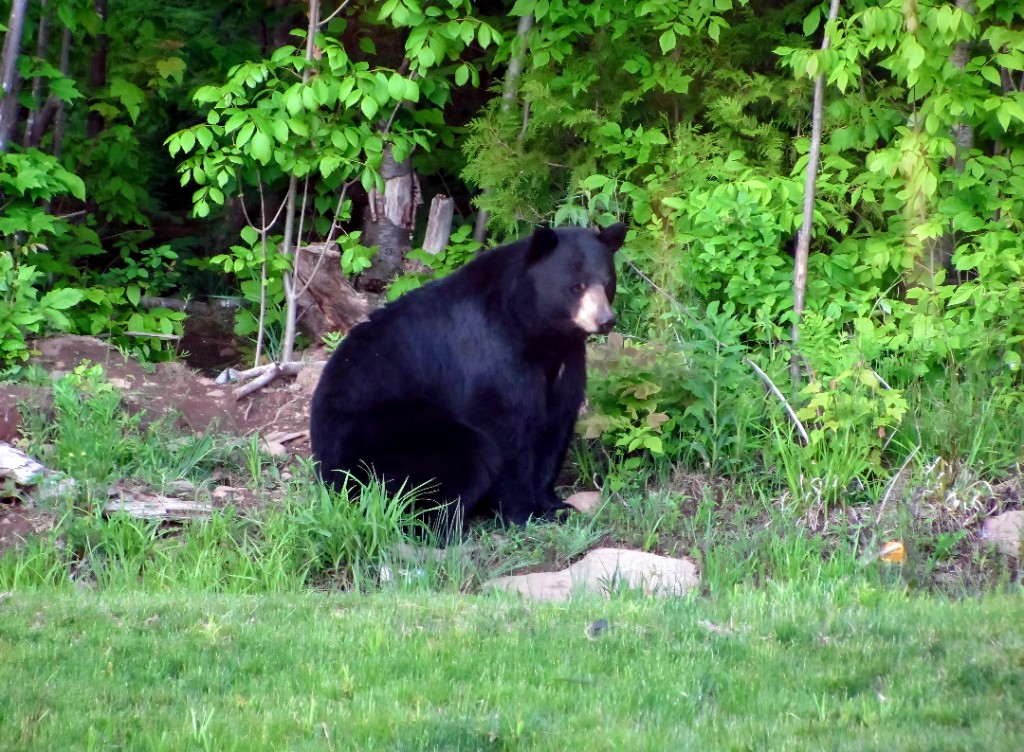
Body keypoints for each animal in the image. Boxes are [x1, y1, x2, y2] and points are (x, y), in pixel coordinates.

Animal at [309, 221, 628, 534]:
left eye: (607, 283)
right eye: (577, 286)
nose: (605, 320)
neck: (537, 332)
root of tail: (328, 479)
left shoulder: (565, 362)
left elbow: (555, 425)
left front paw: (555, 505)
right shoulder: (492, 354)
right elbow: (505, 428)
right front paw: (524, 514)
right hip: (387, 442)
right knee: (462, 456)